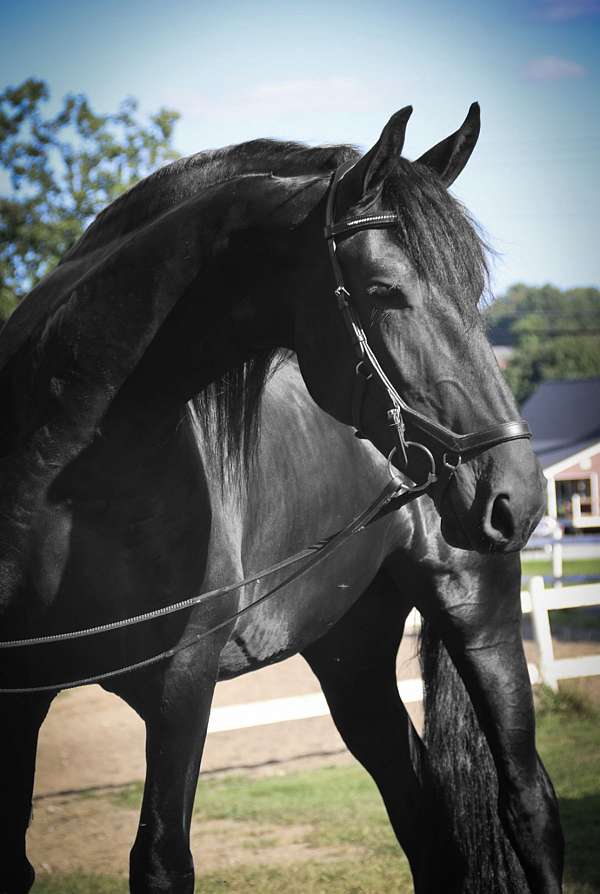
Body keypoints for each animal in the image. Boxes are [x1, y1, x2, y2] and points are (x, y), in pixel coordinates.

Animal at [0, 107, 564, 894]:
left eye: (476, 290)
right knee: (421, 809)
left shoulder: (181, 686)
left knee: (529, 805)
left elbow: (162, 862)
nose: (517, 494)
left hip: (479, 617)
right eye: (384, 291)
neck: (60, 473)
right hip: (351, 656)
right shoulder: (18, 696)